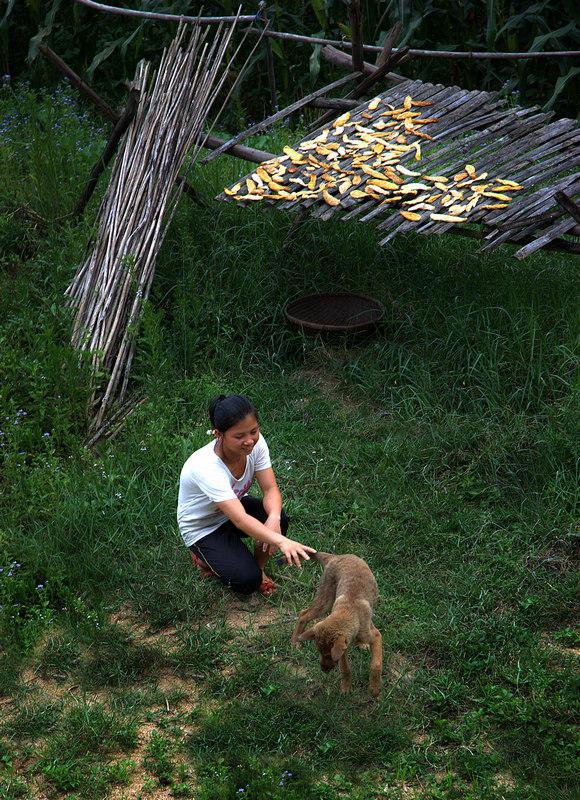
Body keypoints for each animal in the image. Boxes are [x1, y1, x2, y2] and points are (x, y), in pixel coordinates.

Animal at [292, 552, 382, 696]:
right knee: (303, 614)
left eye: (329, 655)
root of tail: (336, 556)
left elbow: (376, 664)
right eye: (318, 651)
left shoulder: (375, 636)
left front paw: (374, 688)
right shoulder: (342, 649)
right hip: (325, 601)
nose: (323, 669)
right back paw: (295, 641)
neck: (348, 612)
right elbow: (345, 668)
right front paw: (346, 688)